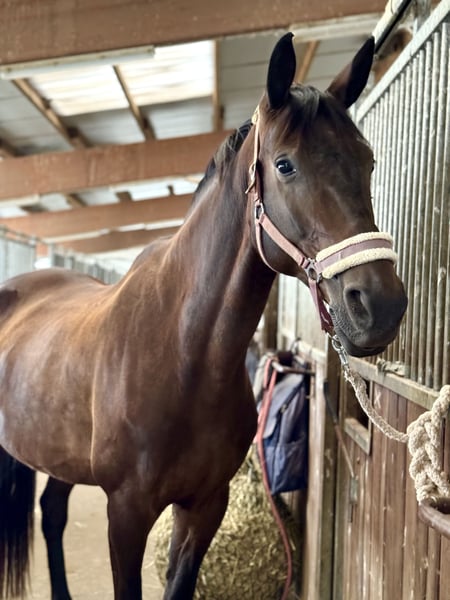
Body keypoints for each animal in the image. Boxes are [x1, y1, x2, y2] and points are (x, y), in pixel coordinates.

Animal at [0, 33, 407, 599]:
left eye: (367, 161)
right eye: (285, 165)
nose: (380, 305)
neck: (182, 352)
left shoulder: (205, 507)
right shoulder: (126, 514)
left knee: (52, 512)